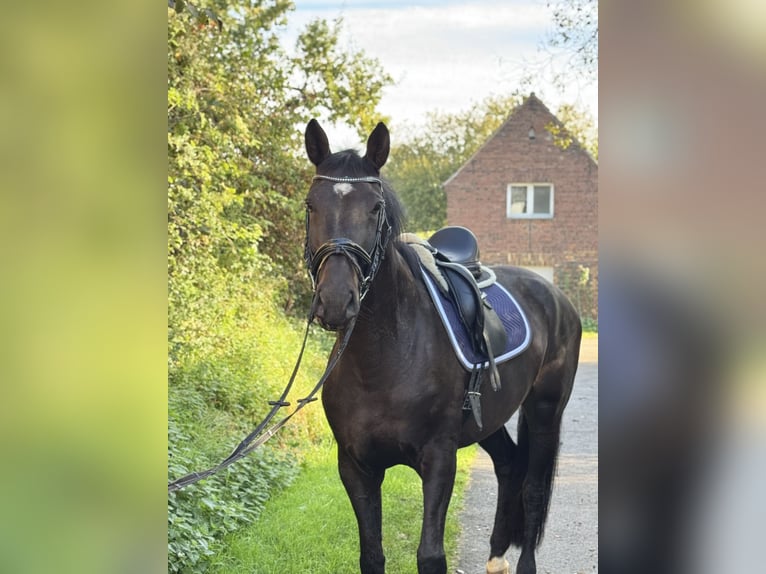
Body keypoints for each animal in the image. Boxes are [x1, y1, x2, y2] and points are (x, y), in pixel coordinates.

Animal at [304, 118, 584, 574]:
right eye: (311, 205)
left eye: (375, 208)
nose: (335, 301)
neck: (383, 361)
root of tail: (555, 295)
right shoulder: (356, 466)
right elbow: (371, 555)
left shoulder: (438, 459)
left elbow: (431, 556)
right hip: (490, 417)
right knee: (509, 465)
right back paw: (495, 556)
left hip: (545, 410)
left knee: (534, 487)